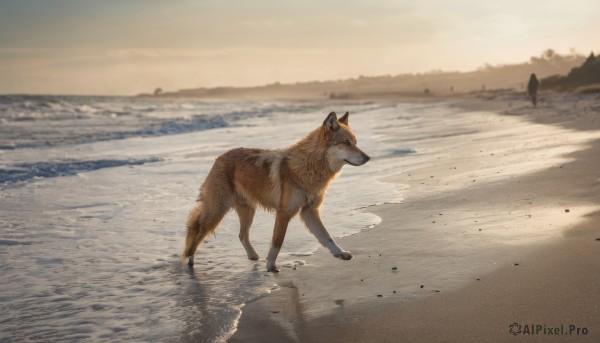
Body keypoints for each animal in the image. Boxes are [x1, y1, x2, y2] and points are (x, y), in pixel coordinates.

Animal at [183, 111, 370, 272]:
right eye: (346, 142)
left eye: (355, 142)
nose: (368, 158)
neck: (308, 166)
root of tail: (219, 158)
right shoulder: (284, 213)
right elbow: (278, 241)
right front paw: (271, 265)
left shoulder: (309, 211)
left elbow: (327, 236)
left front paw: (340, 252)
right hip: (217, 212)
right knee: (197, 230)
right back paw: (190, 258)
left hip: (248, 211)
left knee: (241, 235)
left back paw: (252, 256)